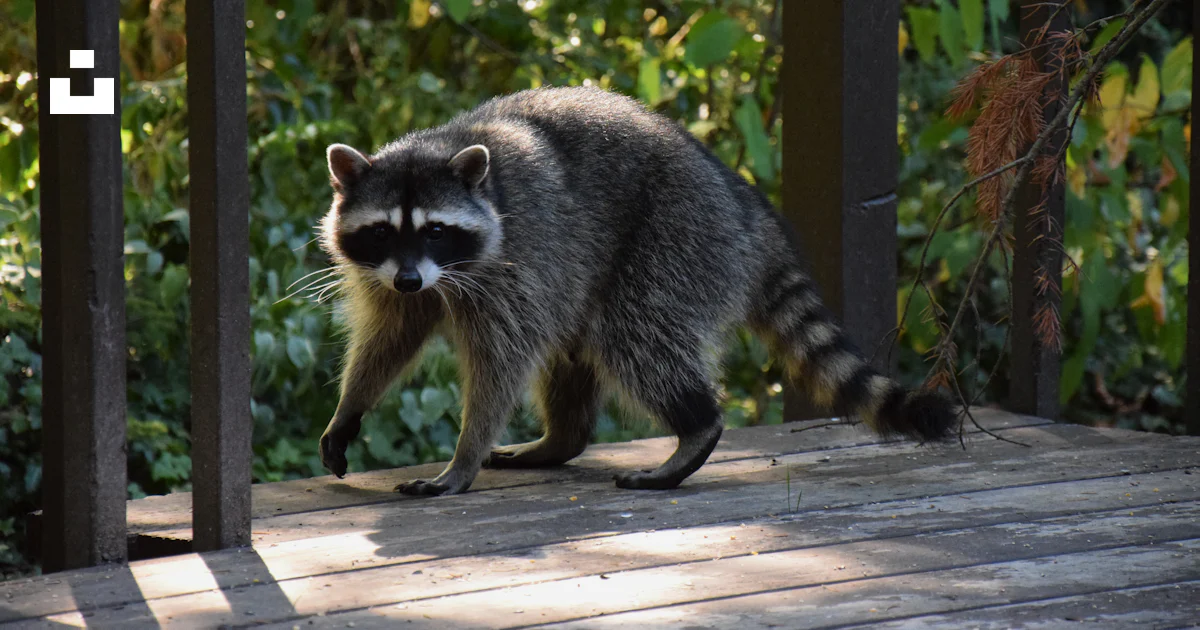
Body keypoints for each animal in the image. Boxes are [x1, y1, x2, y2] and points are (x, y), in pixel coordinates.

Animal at [316, 86, 956, 496]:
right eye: (381, 231)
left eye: (436, 230)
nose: (409, 278)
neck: (445, 143)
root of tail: (744, 207)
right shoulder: (399, 277)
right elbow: (391, 337)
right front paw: (350, 407)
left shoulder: (516, 262)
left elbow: (501, 362)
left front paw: (463, 455)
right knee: (577, 348)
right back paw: (562, 439)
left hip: (675, 238)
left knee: (634, 336)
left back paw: (695, 427)